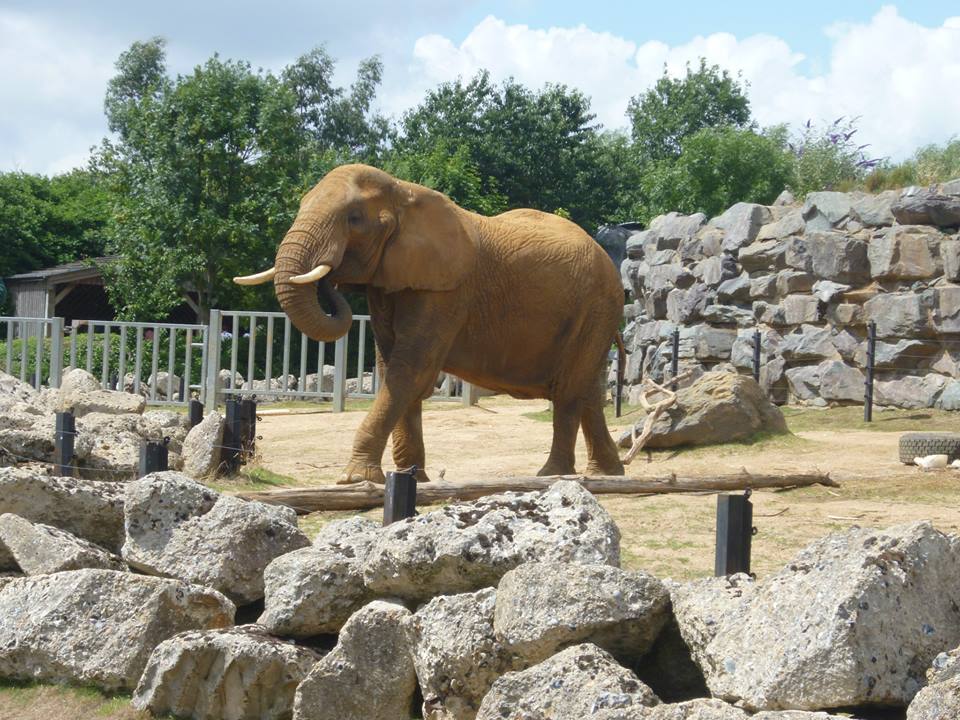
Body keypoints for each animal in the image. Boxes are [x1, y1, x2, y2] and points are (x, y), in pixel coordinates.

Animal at [235, 164, 625, 484]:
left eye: (354, 219)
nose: (331, 282)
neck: (403, 192)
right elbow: (391, 367)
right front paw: (412, 478)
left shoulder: (447, 291)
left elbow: (410, 369)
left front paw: (354, 479)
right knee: (587, 389)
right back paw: (607, 474)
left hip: (597, 306)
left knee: (570, 390)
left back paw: (552, 475)